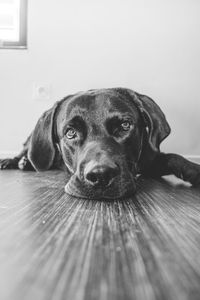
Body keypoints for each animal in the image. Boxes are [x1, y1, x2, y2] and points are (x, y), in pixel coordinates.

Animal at [0, 87, 200, 199]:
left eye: (125, 125)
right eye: (70, 132)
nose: (101, 175)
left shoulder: (149, 160)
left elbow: (173, 157)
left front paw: (194, 170)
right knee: (27, 152)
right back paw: (13, 161)